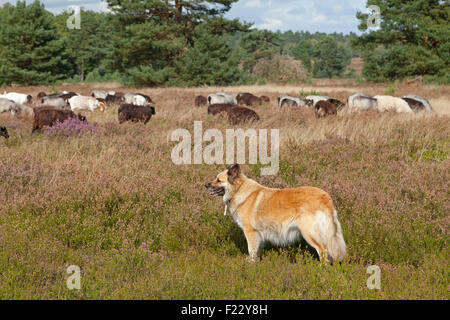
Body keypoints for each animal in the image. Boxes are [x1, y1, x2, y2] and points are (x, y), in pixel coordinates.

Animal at [206, 164, 346, 264]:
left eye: (218, 180)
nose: (206, 185)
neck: (239, 190)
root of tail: (325, 197)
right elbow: (256, 250)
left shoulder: (250, 232)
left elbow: (251, 250)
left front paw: (250, 264)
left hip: (309, 233)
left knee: (323, 250)